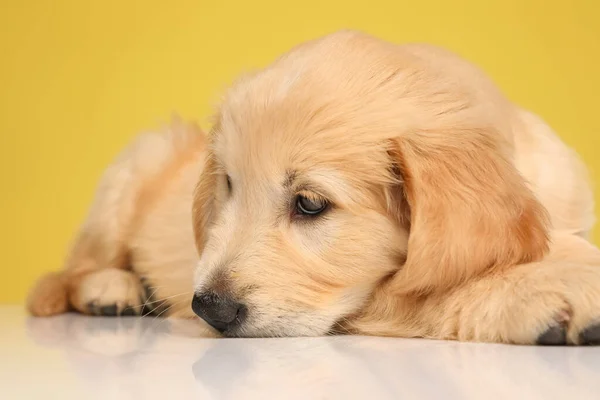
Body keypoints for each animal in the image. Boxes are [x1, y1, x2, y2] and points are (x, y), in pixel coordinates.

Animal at [28, 30, 600, 344]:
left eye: (309, 204)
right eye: (229, 185)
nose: (208, 307)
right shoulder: (372, 302)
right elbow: (444, 289)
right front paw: (557, 284)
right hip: (136, 163)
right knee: (71, 271)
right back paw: (113, 289)